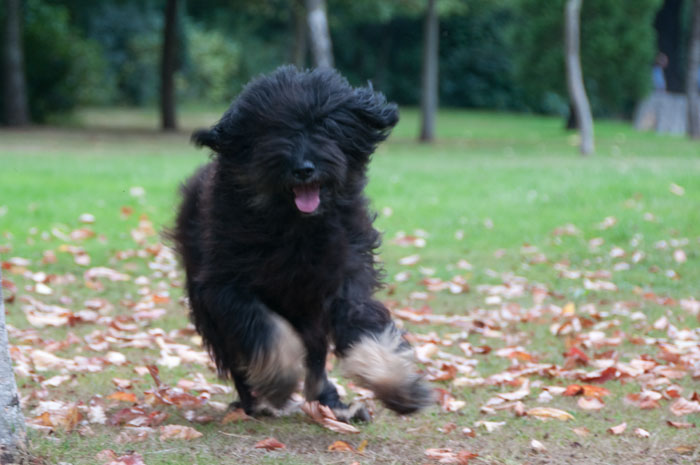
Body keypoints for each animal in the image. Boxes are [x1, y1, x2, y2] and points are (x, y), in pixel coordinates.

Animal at [172, 66, 430, 420]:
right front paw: (279, 379)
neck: (299, 227)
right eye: (274, 130)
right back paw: (256, 401)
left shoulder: (345, 274)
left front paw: (397, 383)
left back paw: (332, 404)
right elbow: (262, 329)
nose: (304, 169)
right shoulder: (224, 285)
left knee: (316, 357)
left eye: (326, 125)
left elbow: (363, 323)